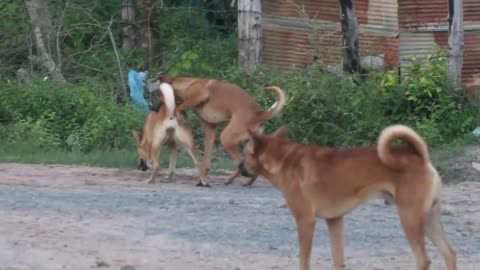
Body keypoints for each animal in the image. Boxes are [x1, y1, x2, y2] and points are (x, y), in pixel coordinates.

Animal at [240, 125, 458, 270]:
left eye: (244, 154)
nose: (239, 168)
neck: (285, 160)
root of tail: (420, 157)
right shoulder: (335, 220)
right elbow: (338, 260)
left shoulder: (305, 221)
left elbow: (304, 260)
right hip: (429, 220)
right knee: (450, 253)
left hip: (410, 219)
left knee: (423, 260)